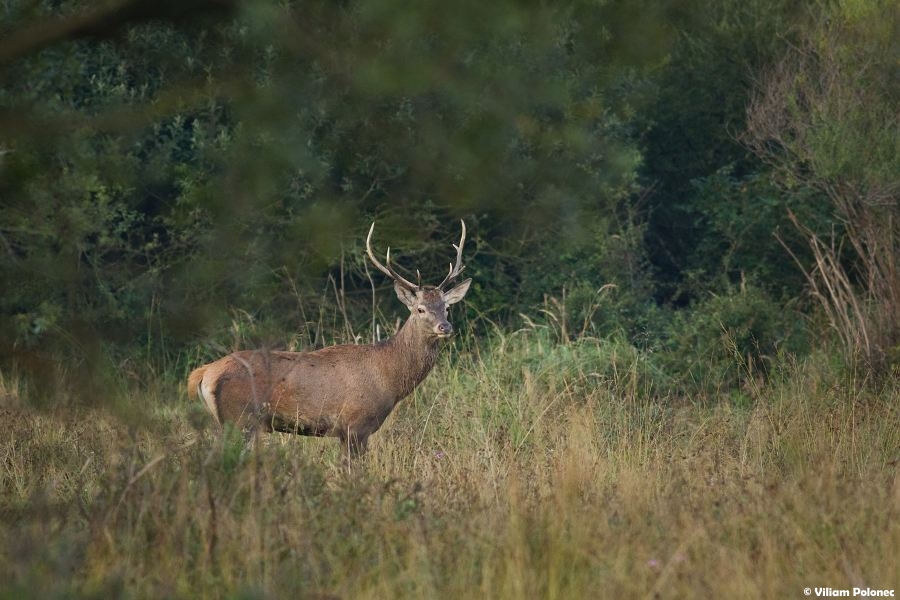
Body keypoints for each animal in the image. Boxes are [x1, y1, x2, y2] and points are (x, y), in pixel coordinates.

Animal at [187, 220, 474, 460]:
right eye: (420, 309)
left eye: (447, 307)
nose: (445, 326)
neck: (388, 377)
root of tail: (204, 373)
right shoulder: (355, 424)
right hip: (240, 419)